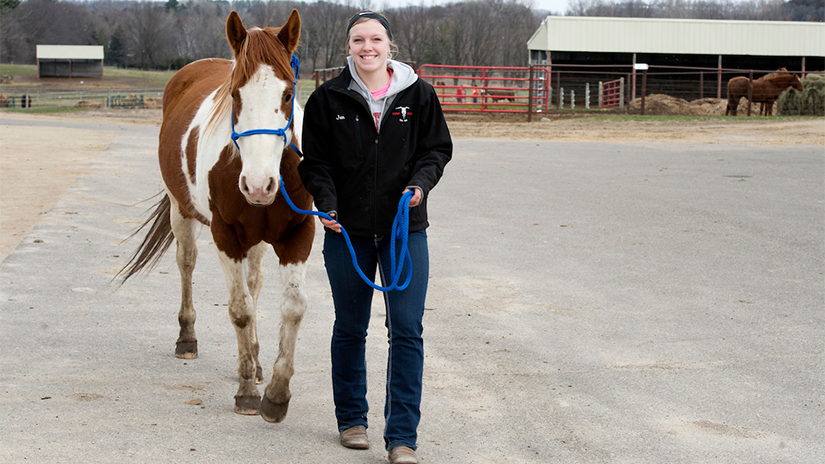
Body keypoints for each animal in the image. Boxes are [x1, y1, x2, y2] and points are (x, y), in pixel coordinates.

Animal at [120, 10, 316, 424]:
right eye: (235, 95)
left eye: (287, 94)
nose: (258, 185)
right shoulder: (226, 236)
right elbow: (239, 310)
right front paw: (247, 393)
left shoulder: (298, 232)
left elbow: (292, 307)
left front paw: (276, 393)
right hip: (182, 212)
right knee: (187, 263)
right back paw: (187, 338)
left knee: (254, 284)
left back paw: (256, 361)